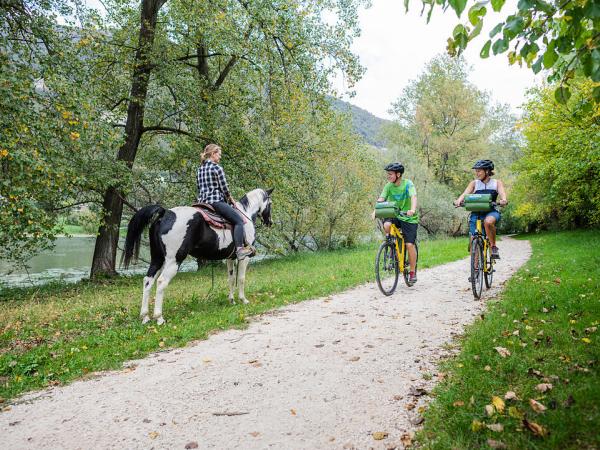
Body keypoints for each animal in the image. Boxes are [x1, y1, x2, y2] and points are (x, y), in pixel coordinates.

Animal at [122, 187, 274, 324]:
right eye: (270, 203)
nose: (270, 222)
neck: (245, 214)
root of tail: (166, 213)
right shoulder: (244, 258)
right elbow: (241, 278)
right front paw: (243, 300)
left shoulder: (230, 258)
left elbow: (231, 279)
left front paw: (231, 300)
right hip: (173, 260)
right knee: (161, 282)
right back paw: (159, 318)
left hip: (157, 259)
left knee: (148, 281)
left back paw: (145, 317)